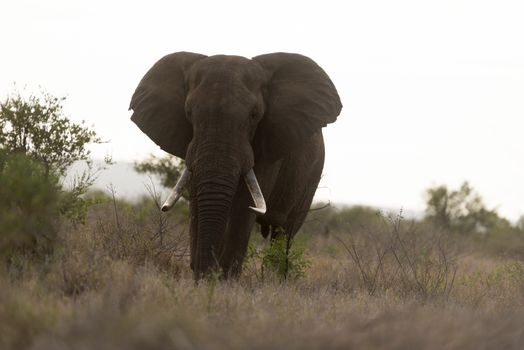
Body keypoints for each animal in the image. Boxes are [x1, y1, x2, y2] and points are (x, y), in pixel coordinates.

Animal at [130, 51, 342, 278]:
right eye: (188, 112)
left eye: (254, 114)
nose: (206, 274)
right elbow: (196, 200)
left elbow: (244, 204)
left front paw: (223, 280)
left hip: (312, 175)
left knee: (285, 232)